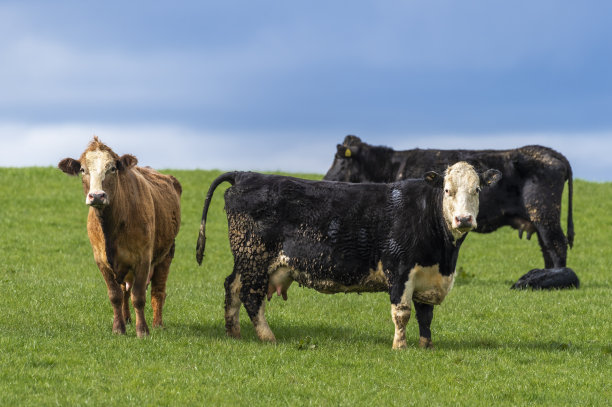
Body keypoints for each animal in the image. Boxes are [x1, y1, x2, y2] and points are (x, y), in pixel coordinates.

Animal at [57, 137, 182, 338]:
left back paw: (157, 324)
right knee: (124, 292)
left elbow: (139, 297)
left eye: (112, 168)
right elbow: (115, 295)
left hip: (167, 253)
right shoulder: (101, 260)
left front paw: (142, 331)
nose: (97, 196)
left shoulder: (143, 259)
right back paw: (127, 319)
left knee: (158, 291)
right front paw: (118, 328)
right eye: (83, 169)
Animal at [196, 161, 502, 350]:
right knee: (250, 296)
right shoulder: (399, 269)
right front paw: (400, 347)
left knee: (232, 287)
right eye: (448, 190)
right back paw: (267, 337)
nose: (464, 219)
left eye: (476, 189)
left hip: (247, 260)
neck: (443, 255)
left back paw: (234, 334)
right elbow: (402, 313)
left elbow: (425, 316)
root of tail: (245, 174)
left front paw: (426, 346)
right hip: (255, 257)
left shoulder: (428, 277)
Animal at [322, 135, 576, 288]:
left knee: (556, 245)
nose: (326, 180)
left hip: (544, 213)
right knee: (548, 248)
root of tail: (553, 154)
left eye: (341, 161)